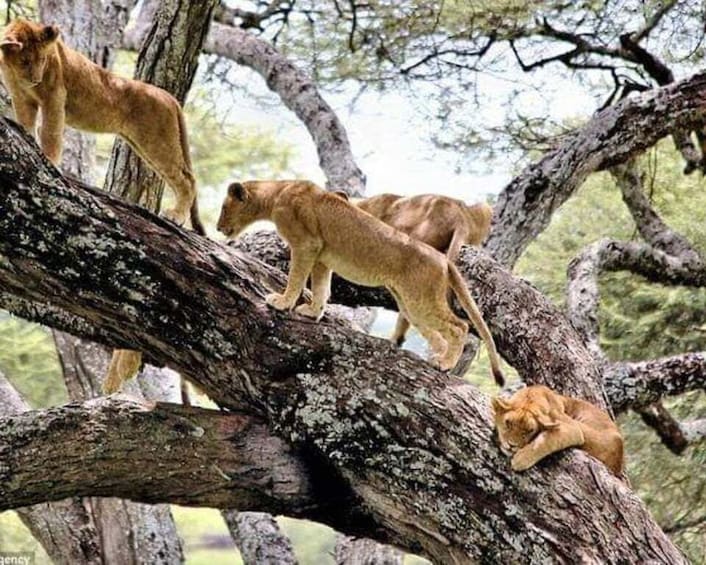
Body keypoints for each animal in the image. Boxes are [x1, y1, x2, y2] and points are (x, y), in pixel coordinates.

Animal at [0, 19, 204, 233]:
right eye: (25, 61)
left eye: (43, 60)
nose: (36, 79)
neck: (14, 72)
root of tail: (169, 96)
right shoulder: (21, 98)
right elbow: (26, 124)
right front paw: (27, 139)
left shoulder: (54, 96)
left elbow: (50, 133)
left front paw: (49, 162)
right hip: (144, 145)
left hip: (158, 141)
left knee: (187, 179)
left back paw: (175, 216)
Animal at [492, 385, 624, 476]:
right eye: (508, 423)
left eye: (529, 431)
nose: (511, 445)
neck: (534, 393)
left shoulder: (573, 428)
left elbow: (547, 439)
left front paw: (521, 459)